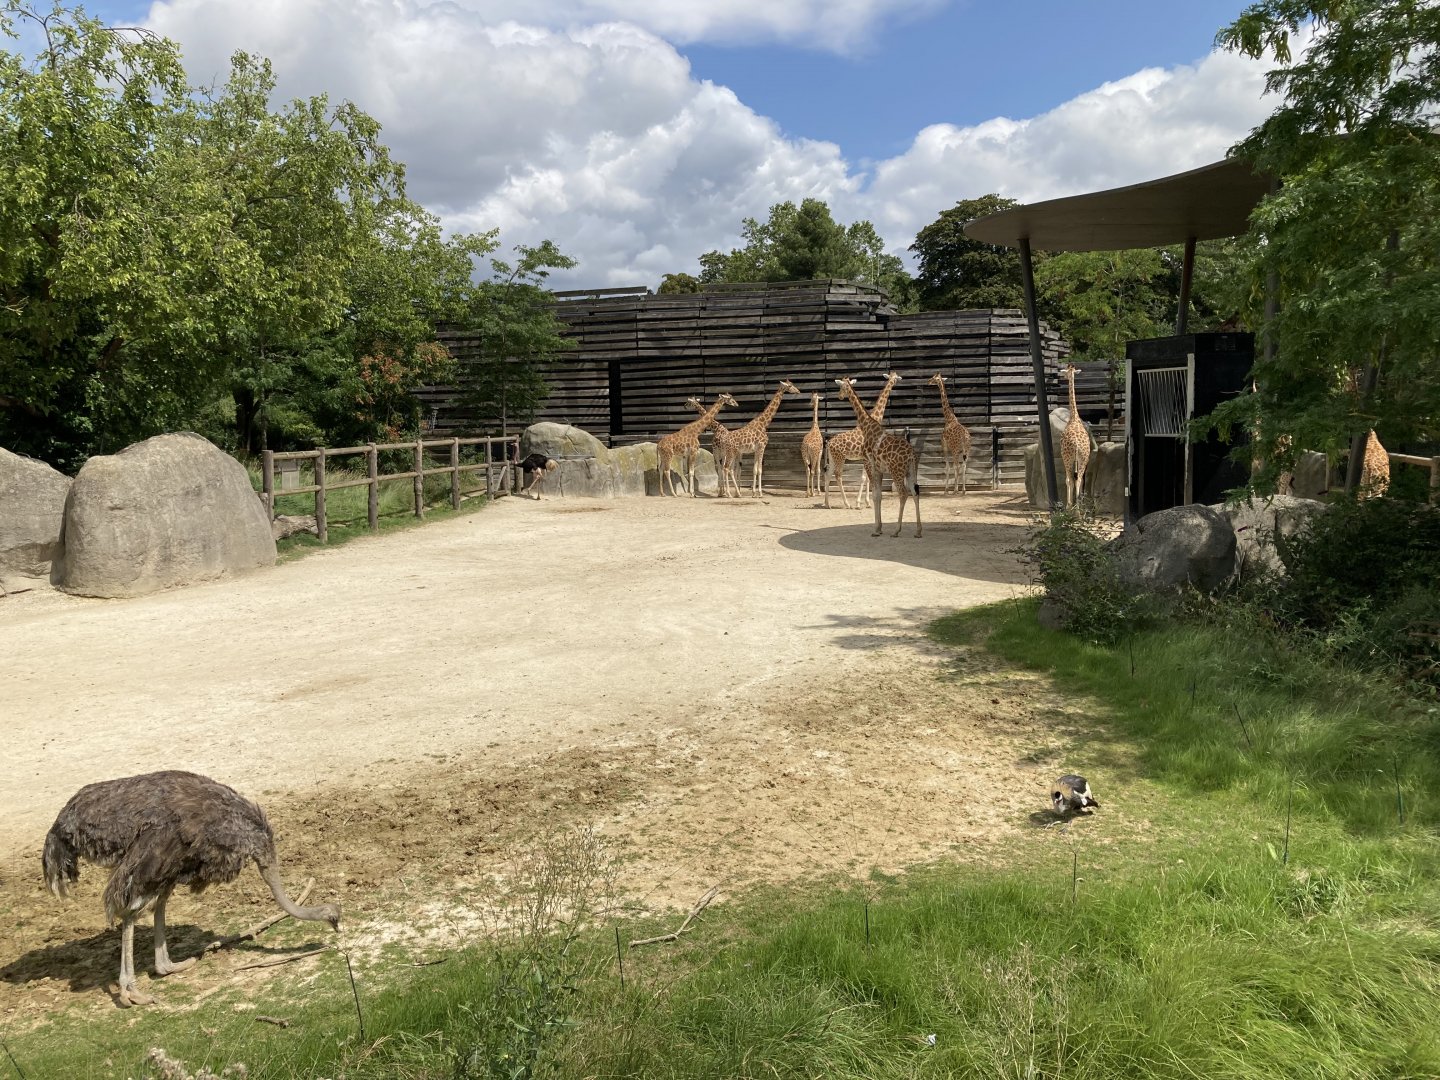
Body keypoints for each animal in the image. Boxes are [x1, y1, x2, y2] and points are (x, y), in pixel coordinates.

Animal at [824, 371, 901, 510]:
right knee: (838, 475)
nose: (839, 396)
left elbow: (865, 478)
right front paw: (860, 503)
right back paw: (847, 503)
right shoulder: (866, 457)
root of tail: (829, 443)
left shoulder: (865, 458)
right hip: (840, 458)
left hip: (833, 459)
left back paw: (827, 504)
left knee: (828, 475)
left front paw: (866, 502)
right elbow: (865, 478)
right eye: (840, 387)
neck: (875, 417)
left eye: (896, 377)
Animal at [835, 376, 921, 538]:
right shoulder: (879, 470)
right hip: (911, 471)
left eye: (841, 387)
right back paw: (918, 531)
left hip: (896, 471)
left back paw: (896, 530)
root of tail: (911, 455)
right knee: (915, 492)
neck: (866, 425)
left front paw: (876, 529)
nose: (839, 396)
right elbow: (879, 495)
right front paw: (879, 527)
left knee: (903, 494)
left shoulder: (869, 465)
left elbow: (875, 495)